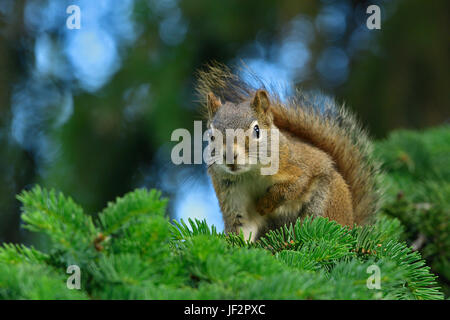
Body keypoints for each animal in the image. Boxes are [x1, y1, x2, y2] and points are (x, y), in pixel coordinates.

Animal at [195, 63, 382, 241]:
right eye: (211, 136)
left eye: (257, 130)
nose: (229, 156)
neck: (250, 172)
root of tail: (351, 225)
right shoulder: (231, 194)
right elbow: (242, 227)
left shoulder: (296, 164)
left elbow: (293, 186)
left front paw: (265, 204)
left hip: (325, 203)